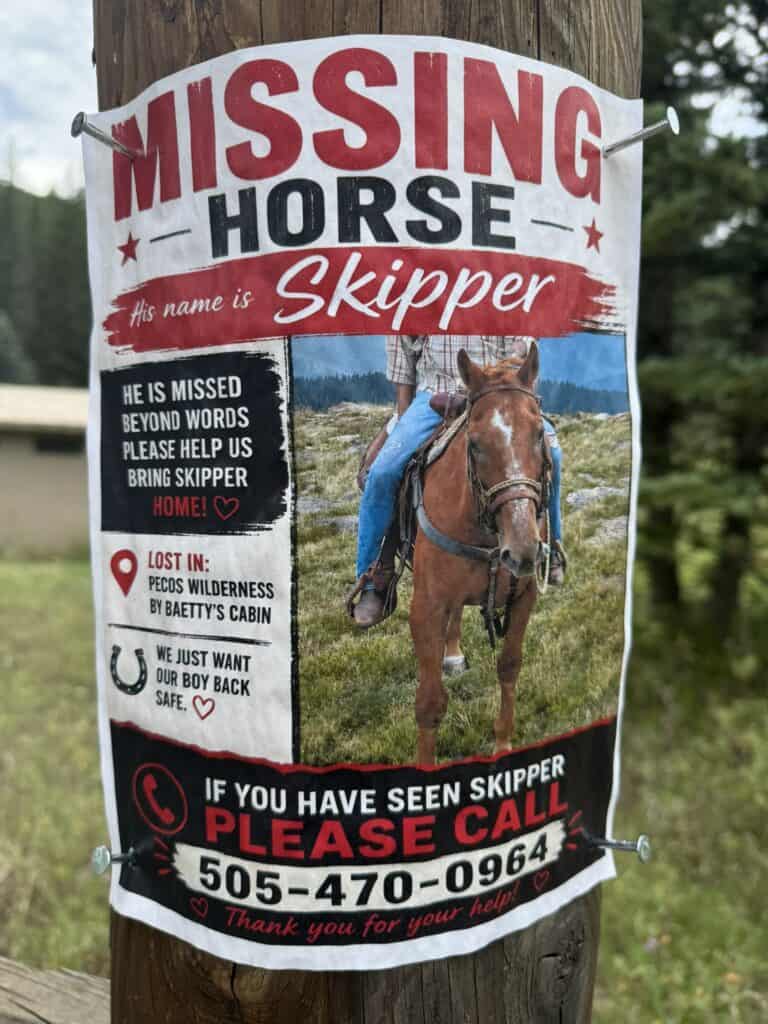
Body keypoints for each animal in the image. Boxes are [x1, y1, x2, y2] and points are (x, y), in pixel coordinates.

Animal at [408, 343, 550, 765]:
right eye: (474, 443)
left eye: (540, 434)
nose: (523, 550)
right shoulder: (426, 606)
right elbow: (430, 703)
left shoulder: (524, 596)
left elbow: (509, 666)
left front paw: (503, 744)